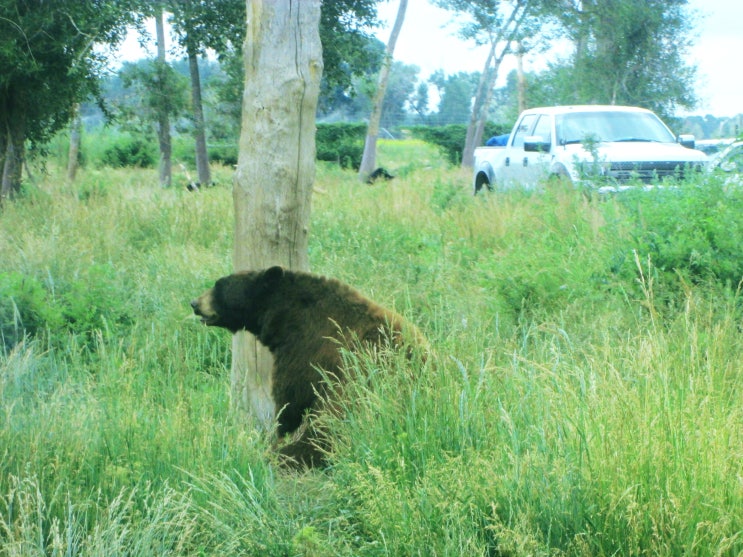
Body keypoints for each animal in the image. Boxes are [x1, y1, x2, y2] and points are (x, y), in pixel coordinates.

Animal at [190, 266, 427, 469]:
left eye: (219, 285)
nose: (194, 303)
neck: (285, 316)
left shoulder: (305, 349)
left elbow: (291, 398)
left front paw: (279, 434)